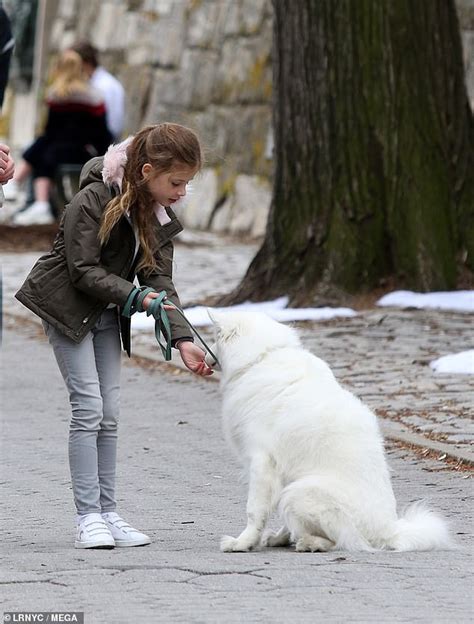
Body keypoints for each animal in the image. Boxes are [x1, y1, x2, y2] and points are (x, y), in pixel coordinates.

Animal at [209, 310, 454, 552]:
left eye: (215, 337)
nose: (206, 357)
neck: (264, 356)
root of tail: (388, 533)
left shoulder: (261, 464)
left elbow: (254, 510)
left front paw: (242, 543)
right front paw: (275, 538)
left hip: (299, 493)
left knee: (341, 541)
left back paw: (310, 543)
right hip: (295, 487)